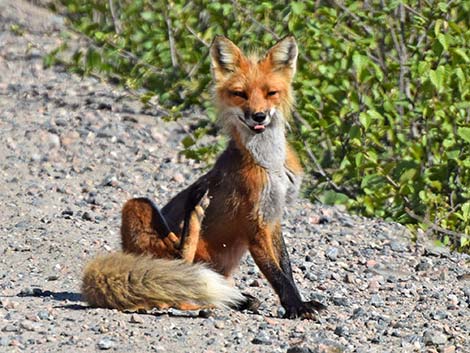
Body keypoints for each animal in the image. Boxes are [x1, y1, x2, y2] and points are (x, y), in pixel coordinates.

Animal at [82, 35, 326, 320]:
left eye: (271, 93)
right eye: (240, 94)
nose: (258, 116)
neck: (270, 164)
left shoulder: (273, 216)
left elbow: (285, 266)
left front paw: (299, 301)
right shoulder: (254, 224)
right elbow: (276, 274)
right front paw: (296, 306)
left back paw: (237, 298)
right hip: (137, 206)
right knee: (178, 279)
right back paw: (194, 218)